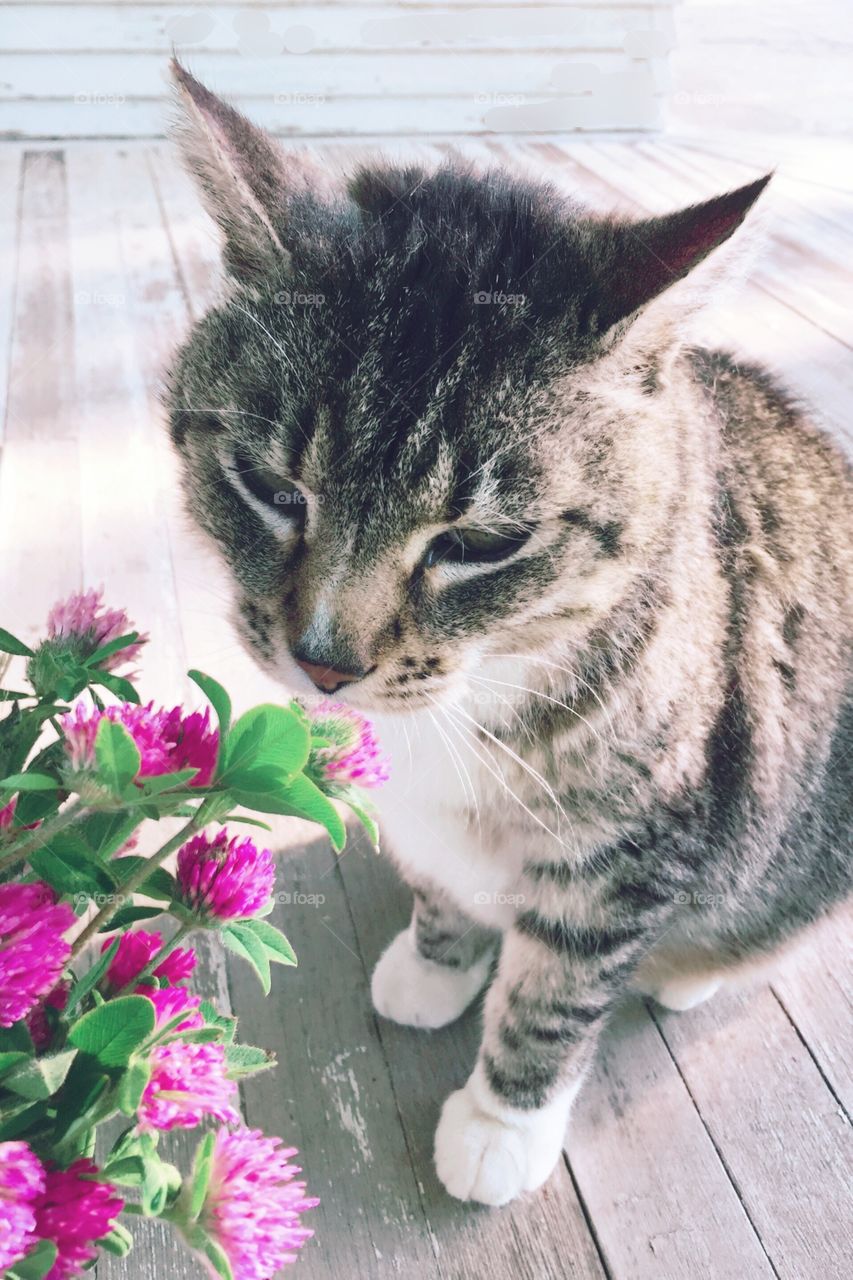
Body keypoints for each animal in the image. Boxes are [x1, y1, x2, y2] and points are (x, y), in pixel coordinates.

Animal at [162, 62, 845, 1208]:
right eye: (267, 488)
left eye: (482, 542)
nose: (324, 663)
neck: (482, 686)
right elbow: (445, 887)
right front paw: (435, 963)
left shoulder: (629, 853)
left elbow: (553, 994)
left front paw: (499, 1122)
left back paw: (696, 970)